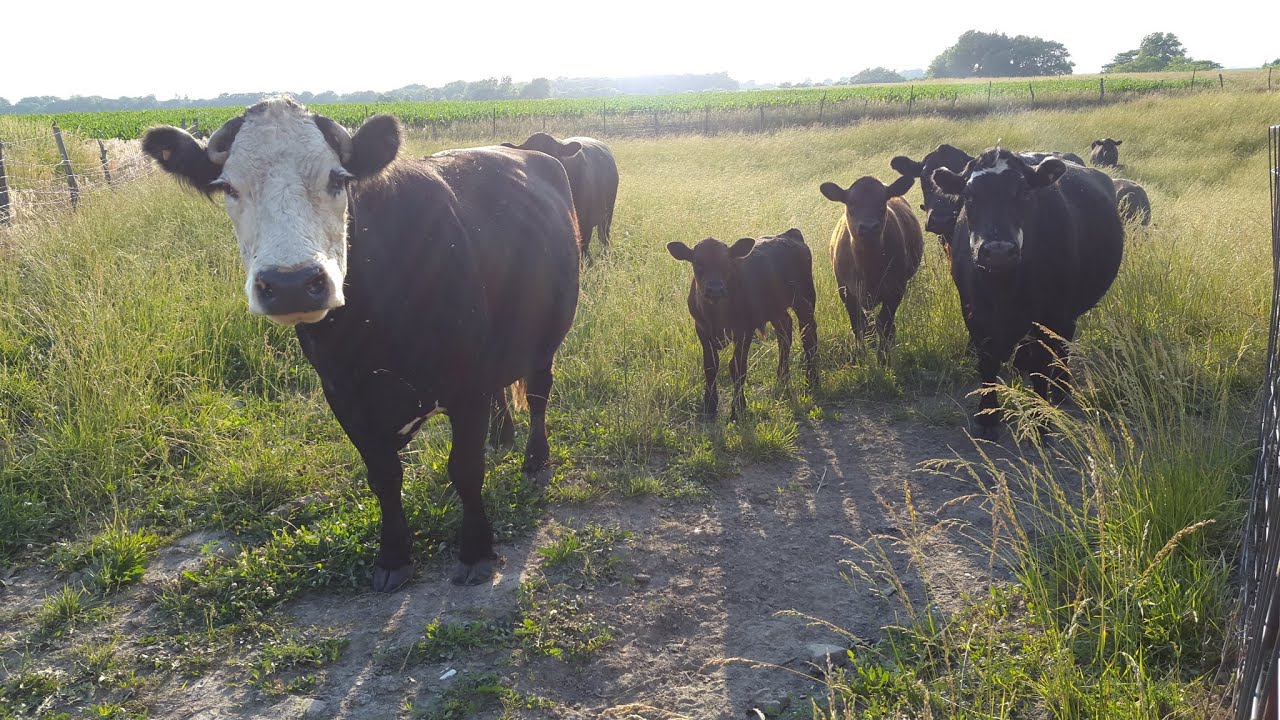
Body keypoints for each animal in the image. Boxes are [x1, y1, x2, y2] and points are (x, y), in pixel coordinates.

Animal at [142, 97, 580, 591]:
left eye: (338, 179)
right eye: (228, 188)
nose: (291, 284)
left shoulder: (466, 384)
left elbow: (465, 469)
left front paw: (475, 550)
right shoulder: (343, 394)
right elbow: (384, 475)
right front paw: (393, 556)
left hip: (547, 333)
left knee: (539, 393)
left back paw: (534, 460)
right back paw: (501, 438)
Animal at [667, 228, 818, 421]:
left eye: (726, 262)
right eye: (697, 263)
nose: (715, 289)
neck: (717, 315)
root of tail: (789, 234)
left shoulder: (745, 330)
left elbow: (737, 367)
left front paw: (738, 407)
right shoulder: (701, 329)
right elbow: (710, 366)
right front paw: (710, 405)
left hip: (805, 299)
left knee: (809, 336)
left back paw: (812, 381)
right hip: (775, 309)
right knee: (785, 333)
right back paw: (782, 380)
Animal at [819, 174, 923, 360]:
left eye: (882, 203)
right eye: (851, 204)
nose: (868, 227)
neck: (867, 266)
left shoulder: (895, 289)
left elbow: (884, 323)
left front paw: (884, 358)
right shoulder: (846, 292)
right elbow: (859, 325)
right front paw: (862, 357)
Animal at [930, 148, 1124, 440]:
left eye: (1023, 193)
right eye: (969, 195)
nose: (998, 251)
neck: (1004, 287)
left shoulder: (1050, 315)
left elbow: (1040, 365)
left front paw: (1040, 421)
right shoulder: (974, 312)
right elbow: (987, 362)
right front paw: (987, 416)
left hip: (1066, 313)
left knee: (1062, 346)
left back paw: (1061, 388)